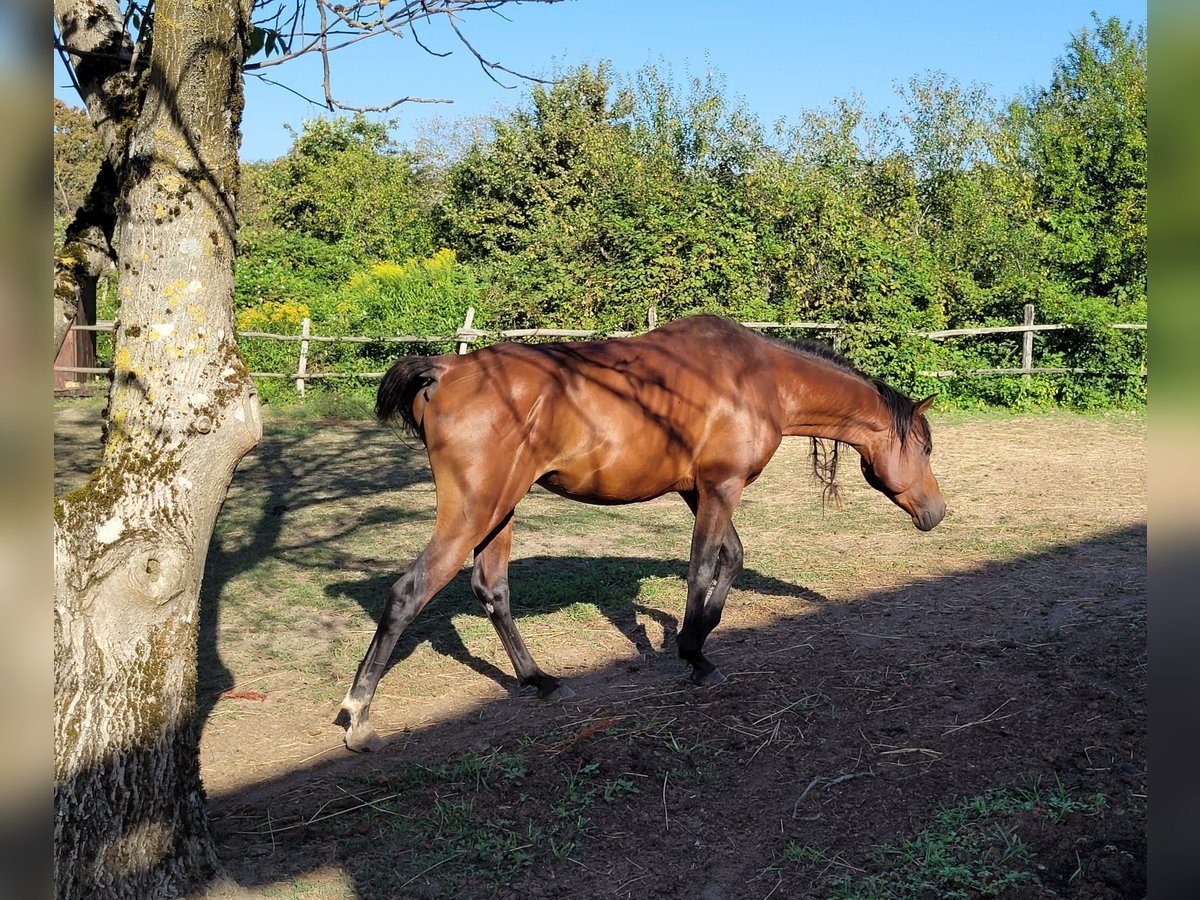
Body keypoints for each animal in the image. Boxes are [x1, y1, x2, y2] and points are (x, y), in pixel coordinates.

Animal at [336, 314, 936, 748]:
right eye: (926, 447)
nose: (936, 512)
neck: (757, 376)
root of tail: (445, 372)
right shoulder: (721, 487)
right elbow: (702, 570)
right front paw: (695, 656)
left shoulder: (698, 490)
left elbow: (732, 559)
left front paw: (698, 636)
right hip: (473, 514)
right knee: (408, 593)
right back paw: (358, 715)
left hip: (498, 514)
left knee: (492, 590)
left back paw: (540, 681)